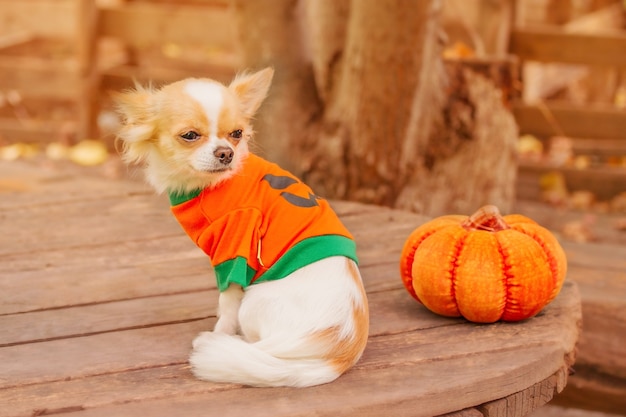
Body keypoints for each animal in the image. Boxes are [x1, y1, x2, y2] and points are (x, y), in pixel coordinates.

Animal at [114, 67, 368, 386]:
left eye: (236, 135)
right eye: (190, 136)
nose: (226, 153)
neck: (208, 185)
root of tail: (340, 353)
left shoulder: (233, 249)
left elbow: (227, 305)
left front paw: (219, 334)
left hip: (257, 299)